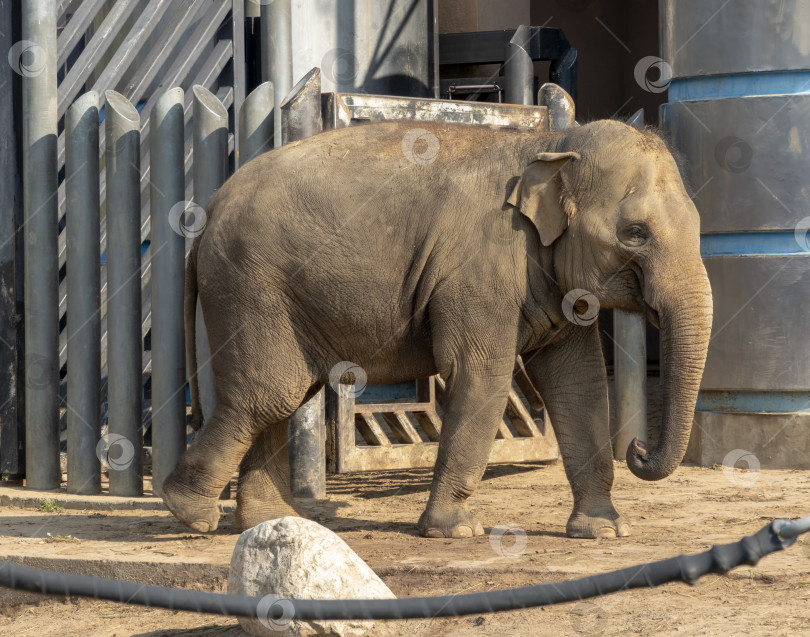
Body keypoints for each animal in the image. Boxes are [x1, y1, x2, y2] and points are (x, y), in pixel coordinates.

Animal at [161, 118, 712, 536]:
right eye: (635, 234)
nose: (638, 449)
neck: (551, 143)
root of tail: (208, 212)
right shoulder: (479, 268)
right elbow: (482, 375)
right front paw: (457, 531)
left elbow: (580, 384)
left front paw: (604, 531)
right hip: (249, 286)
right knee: (269, 395)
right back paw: (191, 514)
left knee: (285, 395)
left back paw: (268, 521)